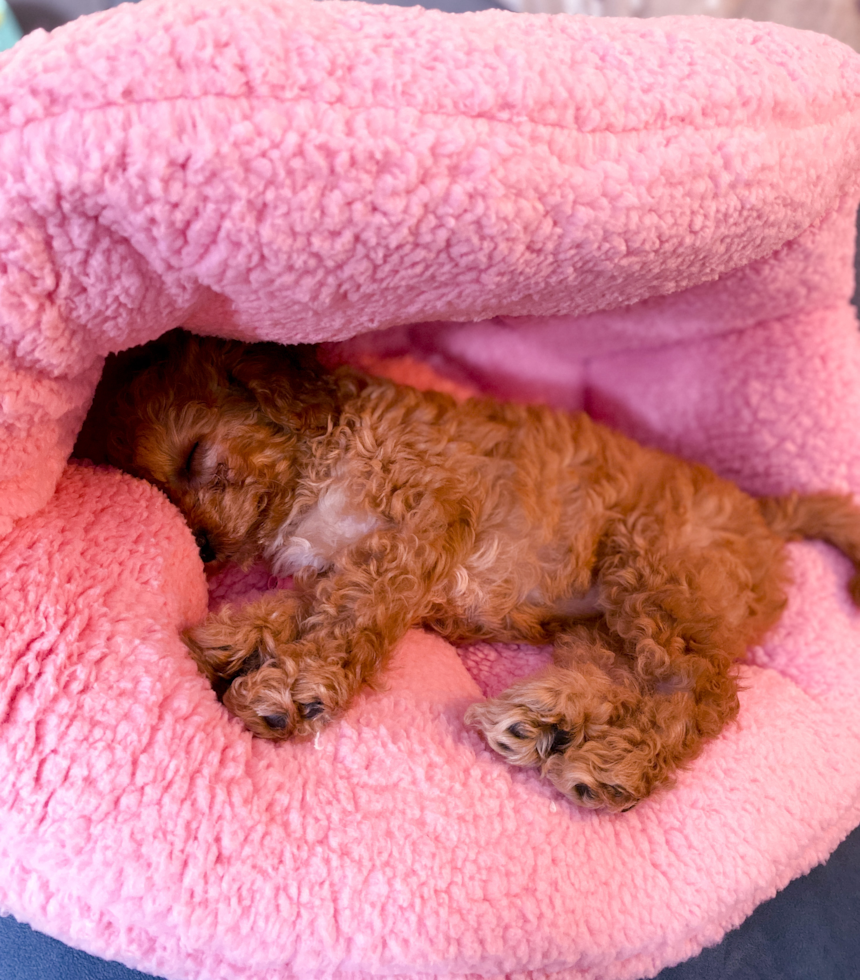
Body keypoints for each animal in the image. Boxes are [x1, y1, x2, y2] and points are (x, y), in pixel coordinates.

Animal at [101, 330, 860, 812]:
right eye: (160, 489)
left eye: (197, 455)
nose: (198, 547)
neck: (320, 451)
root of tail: (765, 517)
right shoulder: (361, 560)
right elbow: (312, 602)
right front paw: (229, 638)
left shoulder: (421, 523)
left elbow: (349, 614)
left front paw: (291, 686)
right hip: (611, 613)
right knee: (625, 673)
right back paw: (541, 720)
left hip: (653, 564)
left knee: (700, 694)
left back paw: (613, 766)